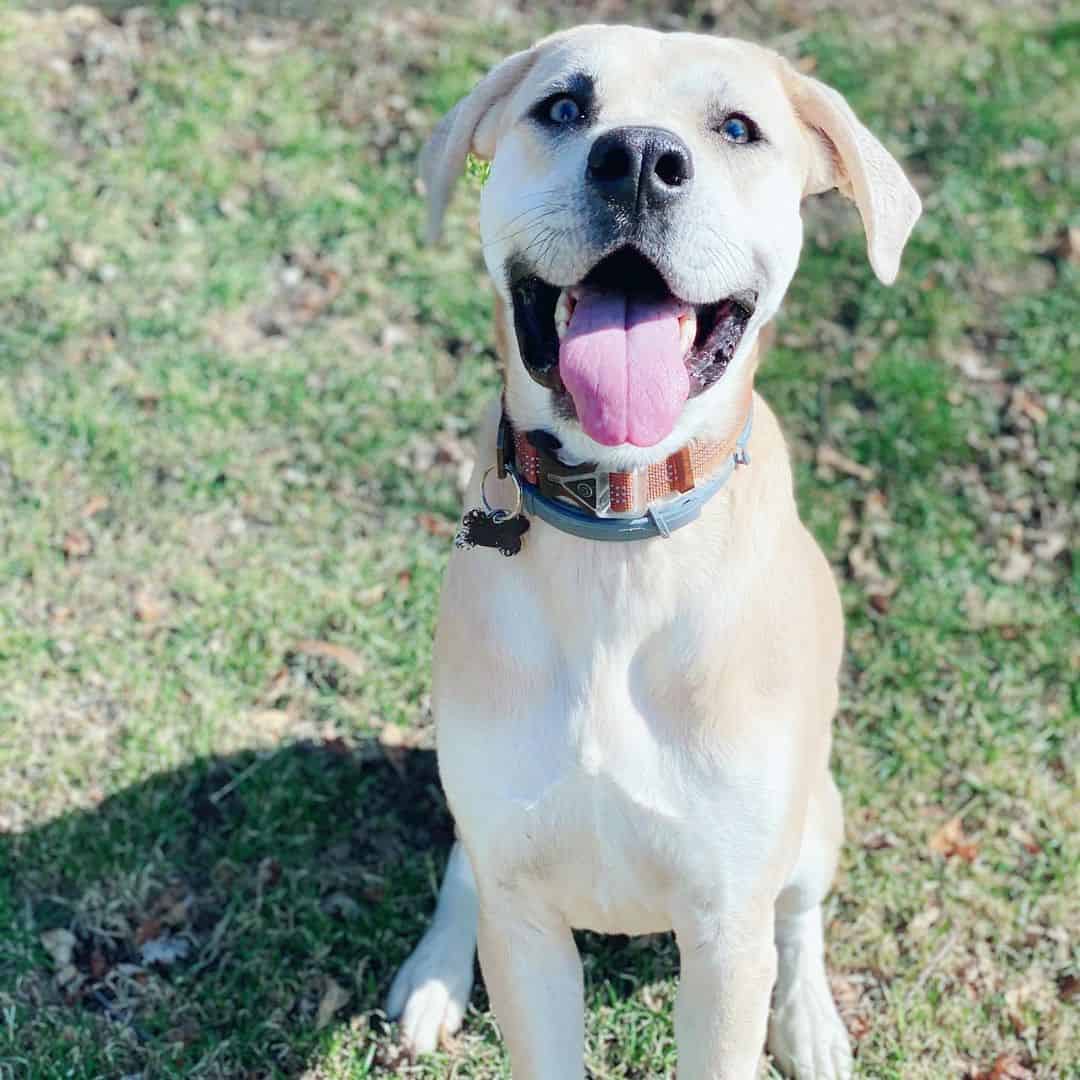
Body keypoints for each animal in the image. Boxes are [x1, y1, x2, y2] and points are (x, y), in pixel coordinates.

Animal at [384, 25, 915, 1080]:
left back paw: (812, 1022)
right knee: (464, 868)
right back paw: (433, 975)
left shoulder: (725, 933)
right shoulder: (526, 918)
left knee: (803, 918)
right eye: (560, 106)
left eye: (738, 128)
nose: (636, 160)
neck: (621, 530)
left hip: (815, 820)